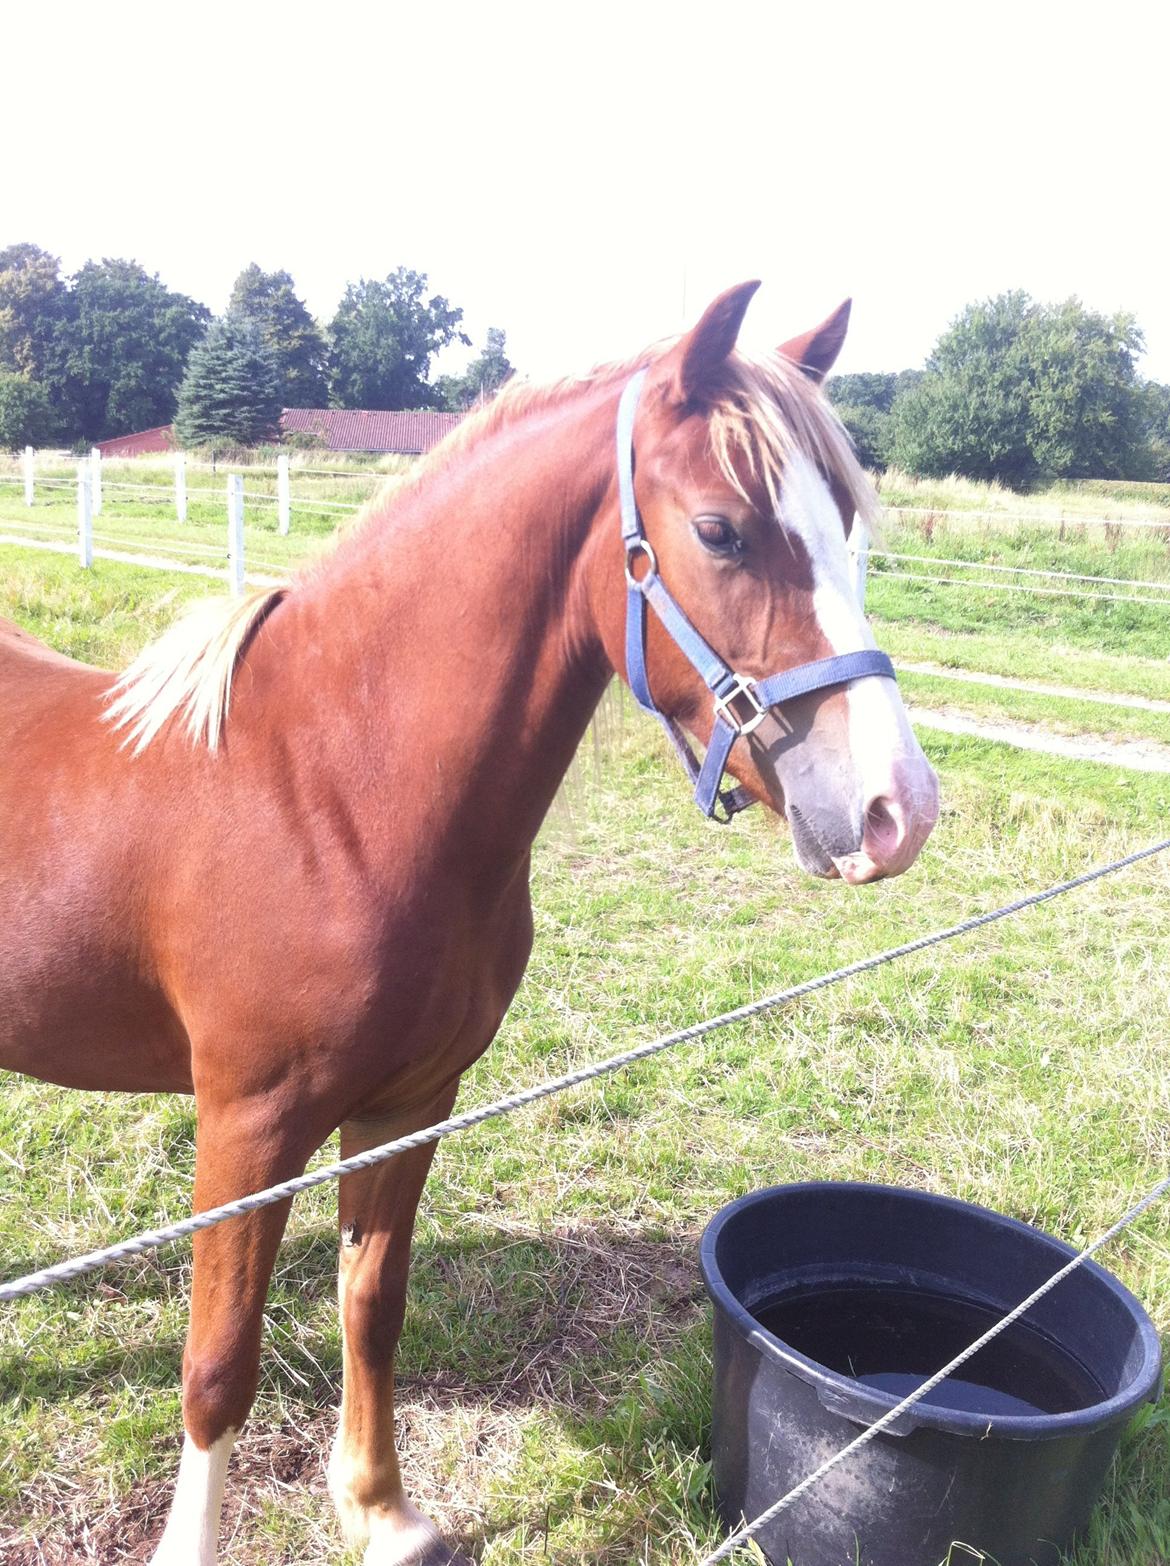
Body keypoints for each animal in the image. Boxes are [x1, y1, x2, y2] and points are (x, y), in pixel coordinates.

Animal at [0, 285, 939, 1566]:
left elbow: (372, 1306)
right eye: (721, 531)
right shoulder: (247, 1126)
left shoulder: (410, 1105)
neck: (332, 790)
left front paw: (379, 1511)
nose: (898, 810)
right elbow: (218, 1365)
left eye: (846, 522)